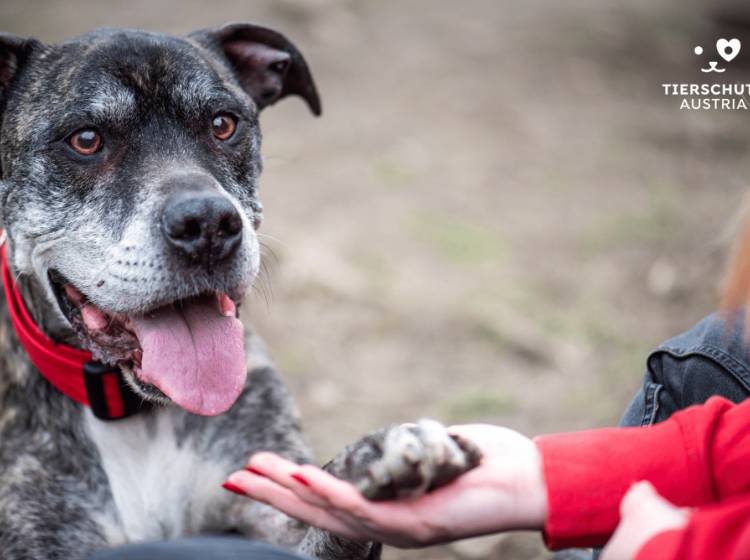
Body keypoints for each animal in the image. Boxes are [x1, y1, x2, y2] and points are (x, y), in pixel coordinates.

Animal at [0, 23, 482, 560]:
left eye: (223, 124)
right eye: (86, 139)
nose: (207, 224)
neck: (137, 418)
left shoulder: (274, 516)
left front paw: (378, 454)